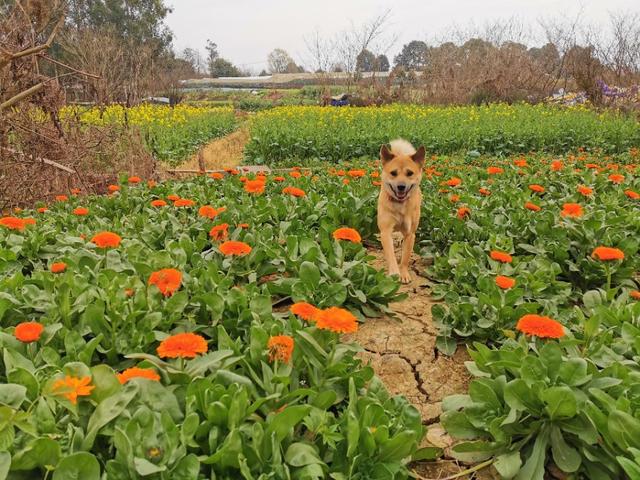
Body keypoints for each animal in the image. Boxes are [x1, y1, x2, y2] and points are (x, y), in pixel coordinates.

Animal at [378, 138, 422, 282]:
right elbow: (390, 254)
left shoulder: (410, 234)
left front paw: (403, 273)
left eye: (409, 173)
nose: (401, 186)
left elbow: (405, 257)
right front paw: (394, 272)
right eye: (393, 173)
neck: (400, 205)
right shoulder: (385, 231)